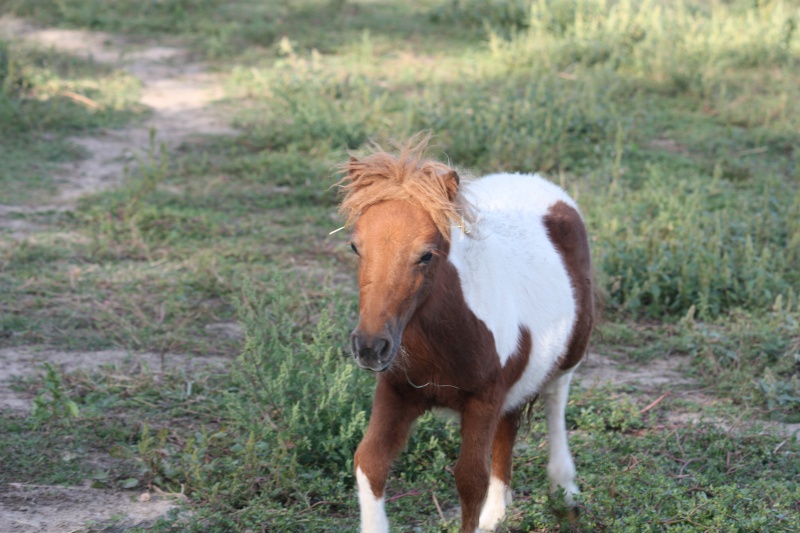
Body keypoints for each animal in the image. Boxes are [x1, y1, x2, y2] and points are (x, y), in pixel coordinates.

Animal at [338, 138, 592, 532]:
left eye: (427, 255)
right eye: (355, 247)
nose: (369, 347)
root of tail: (536, 182)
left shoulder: (483, 399)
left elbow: (470, 479)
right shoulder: (395, 391)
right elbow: (370, 462)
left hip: (569, 354)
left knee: (555, 399)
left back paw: (564, 489)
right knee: (509, 425)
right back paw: (497, 513)